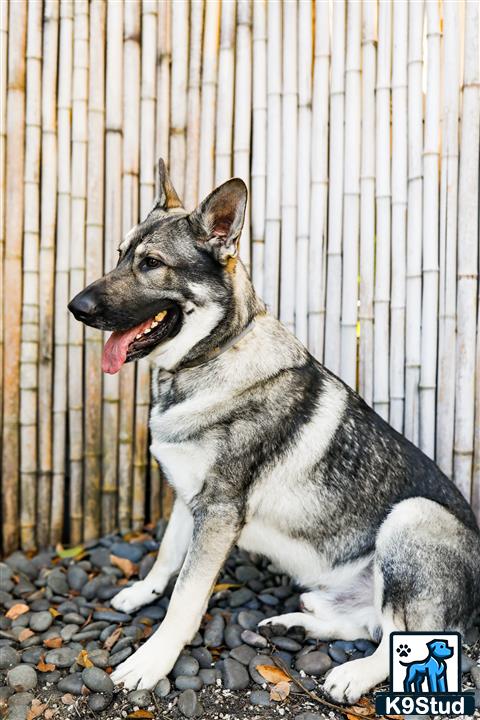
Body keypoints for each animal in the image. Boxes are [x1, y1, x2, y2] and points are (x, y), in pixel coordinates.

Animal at [68, 160, 480, 700]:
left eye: (152, 263)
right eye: (119, 255)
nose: (76, 307)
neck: (211, 356)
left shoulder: (219, 513)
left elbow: (185, 598)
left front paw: (152, 660)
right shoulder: (190, 500)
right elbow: (166, 557)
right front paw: (141, 592)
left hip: (412, 516)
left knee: (397, 641)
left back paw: (351, 673)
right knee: (366, 624)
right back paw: (294, 625)